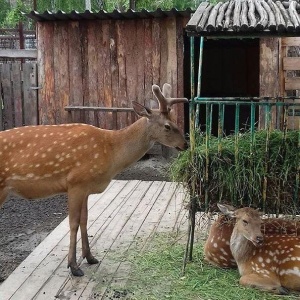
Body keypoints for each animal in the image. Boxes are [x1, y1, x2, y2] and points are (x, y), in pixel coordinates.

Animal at [0, 83, 188, 276]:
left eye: (175, 120)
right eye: (167, 126)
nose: (185, 144)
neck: (111, 153)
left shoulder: (86, 187)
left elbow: (85, 220)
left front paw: (90, 257)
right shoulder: (76, 182)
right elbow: (73, 223)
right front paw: (73, 266)